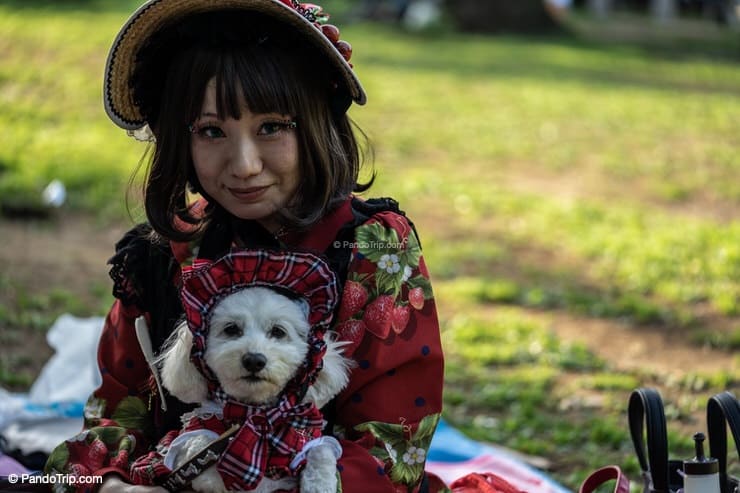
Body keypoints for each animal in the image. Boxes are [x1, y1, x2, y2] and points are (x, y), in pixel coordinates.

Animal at [153, 286, 352, 490]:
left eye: (278, 331)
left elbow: (321, 451)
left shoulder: (307, 435)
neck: (255, 412)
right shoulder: (197, 440)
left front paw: (320, 485)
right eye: (231, 329)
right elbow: (204, 461)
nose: (254, 360)